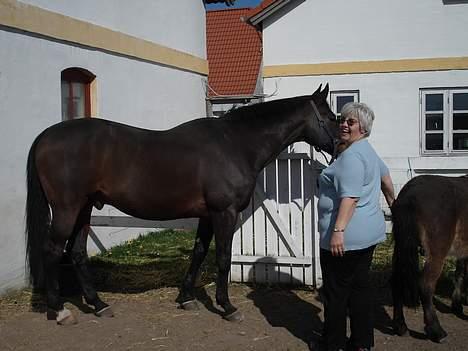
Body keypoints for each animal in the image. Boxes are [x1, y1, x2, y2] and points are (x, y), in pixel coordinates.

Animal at [392, 176, 468, 344]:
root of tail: (409, 195)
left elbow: (459, 274)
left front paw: (457, 306)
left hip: (401, 249)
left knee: (397, 282)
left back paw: (401, 326)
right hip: (436, 253)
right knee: (426, 285)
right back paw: (436, 331)